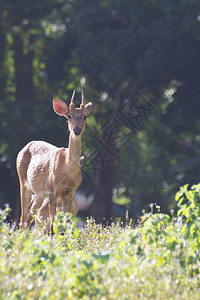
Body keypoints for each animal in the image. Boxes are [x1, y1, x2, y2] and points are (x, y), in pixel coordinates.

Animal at [16, 90, 93, 233]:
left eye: (85, 116)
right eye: (69, 116)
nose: (77, 130)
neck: (67, 168)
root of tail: (25, 146)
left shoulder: (70, 191)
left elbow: (67, 222)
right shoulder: (52, 189)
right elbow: (52, 224)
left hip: (39, 193)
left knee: (29, 214)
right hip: (23, 182)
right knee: (23, 217)